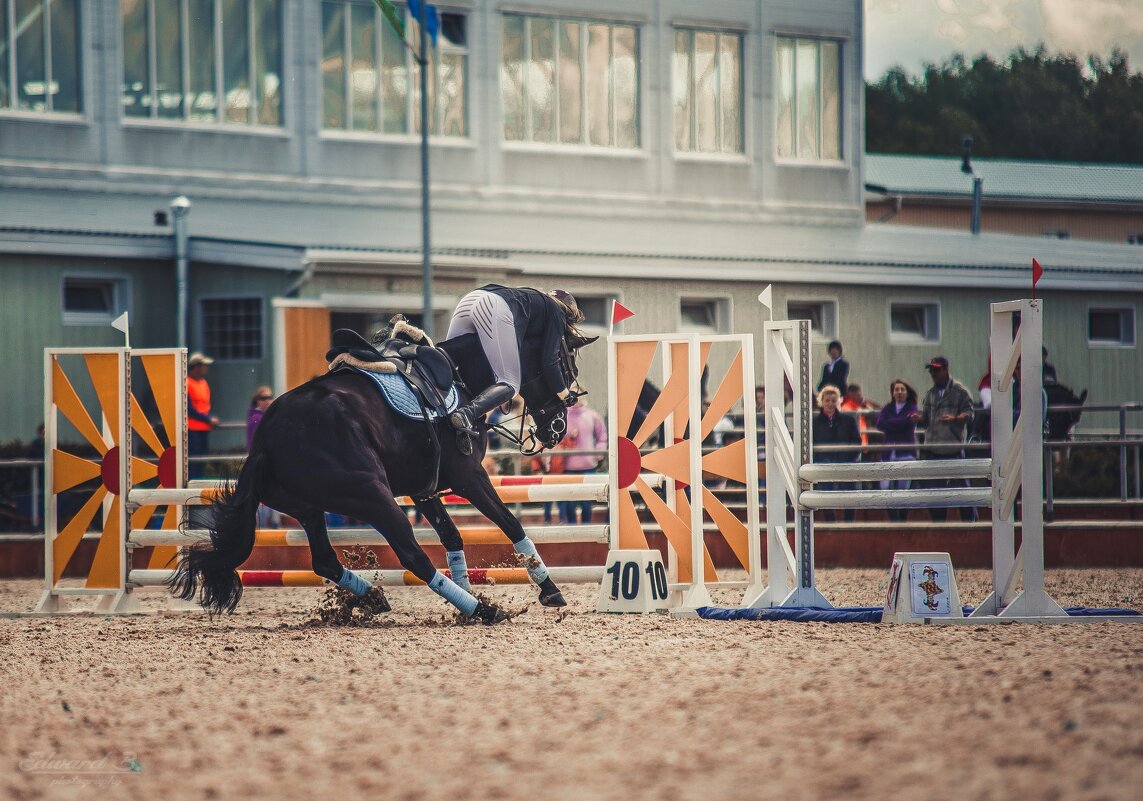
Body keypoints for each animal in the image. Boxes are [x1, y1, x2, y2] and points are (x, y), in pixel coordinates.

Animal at [173, 329, 594, 621]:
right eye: (566, 361)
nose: (559, 426)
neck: (462, 379)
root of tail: (265, 441)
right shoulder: (469, 477)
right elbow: (511, 524)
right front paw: (548, 589)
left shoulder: (425, 491)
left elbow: (453, 536)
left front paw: (468, 589)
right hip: (373, 496)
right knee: (412, 556)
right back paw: (483, 611)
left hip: (310, 509)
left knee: (324, 560)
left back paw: (377, 598)